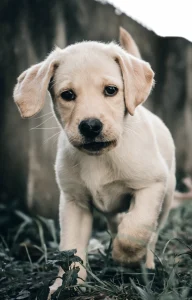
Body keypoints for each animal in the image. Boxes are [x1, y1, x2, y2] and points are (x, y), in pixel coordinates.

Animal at [13, 28, 176, 292]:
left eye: (111, 90)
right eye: (67, 95)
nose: (90, 126)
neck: (101, 157)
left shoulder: (152, 185)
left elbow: (137, 227)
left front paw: (124, 256)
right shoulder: (75, 203)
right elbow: (71, 249)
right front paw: (65, 287)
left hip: (167, 196)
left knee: (151, 233)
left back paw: (148, 265)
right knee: (116, 222)